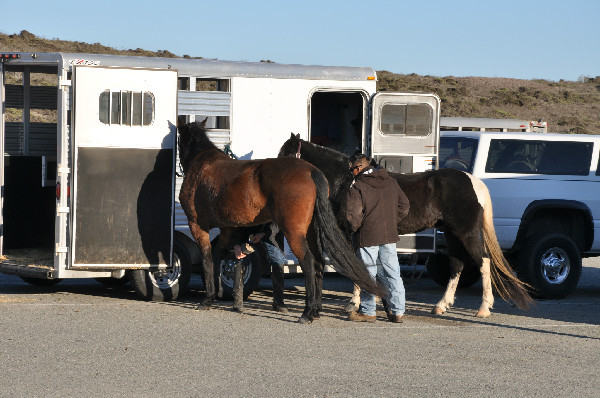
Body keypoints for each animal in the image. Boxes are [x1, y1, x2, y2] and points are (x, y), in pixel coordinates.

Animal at [176, 119, 378, 324]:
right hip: (312, 232)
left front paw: (207, 299)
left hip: (295, 233)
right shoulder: (228, 229)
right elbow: (221, 255)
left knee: (308, 261)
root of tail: (311, 171)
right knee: (319, 262)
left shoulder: (197, 225)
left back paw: (307, 312)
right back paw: (315, 310)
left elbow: (207, 258)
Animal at [278, 134, 536, 318]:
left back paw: (483, 308)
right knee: (457, 264)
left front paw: (354, 304)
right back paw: (441, 306)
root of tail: (473, 182)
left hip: (466, 233)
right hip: (452, 234)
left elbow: (357, 265)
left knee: (483, 262)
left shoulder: (350, 233)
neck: (346, 181)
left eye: (287, 154)